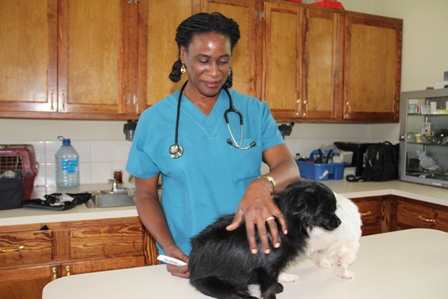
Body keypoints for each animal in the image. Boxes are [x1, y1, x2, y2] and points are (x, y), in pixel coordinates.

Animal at [188, 180, 340, 299]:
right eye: (329, 210)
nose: (340, 222)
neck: (287, 222)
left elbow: (273, 280)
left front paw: (278, 286)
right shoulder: (268, 268)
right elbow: (269, 287)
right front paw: (272, 294)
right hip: (216, 284)